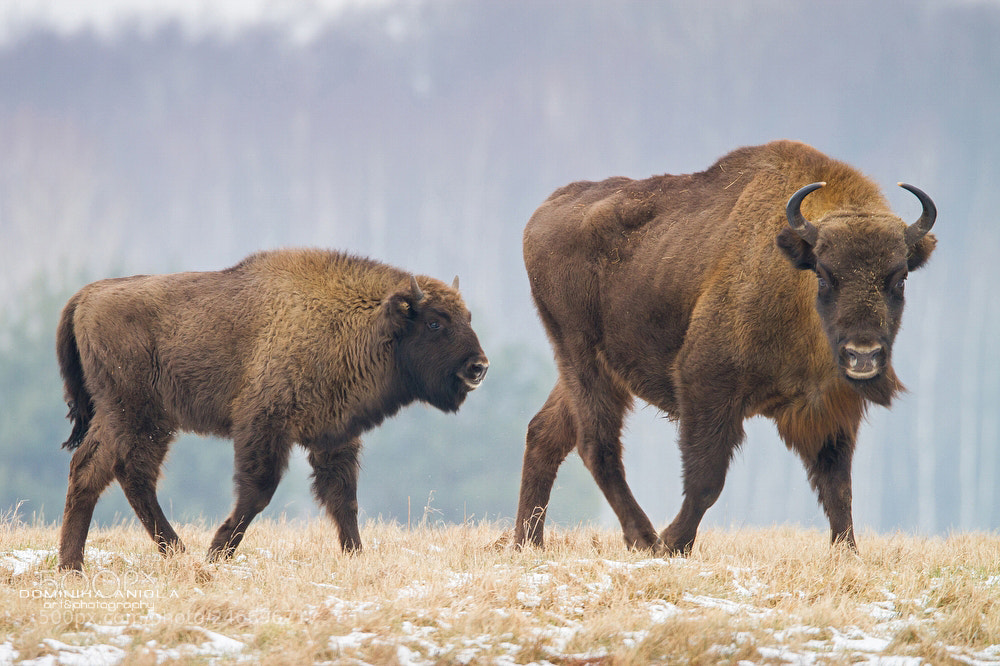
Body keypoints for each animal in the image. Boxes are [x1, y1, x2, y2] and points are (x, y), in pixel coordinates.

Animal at [56, 249, 489, 570]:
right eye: (434, 323)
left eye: (468, 317)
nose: (478, 367)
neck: (360, 321)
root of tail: (85, 298)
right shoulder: (264, 425)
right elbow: (258, 492)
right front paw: (218, 552)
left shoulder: (332, 435)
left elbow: (343, 498)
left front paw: (356, 556)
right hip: (139, 416)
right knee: (127, 474)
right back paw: (172, 552)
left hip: (124, 418)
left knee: (92, 471)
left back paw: (74, 564)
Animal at [514, 140, 936, 555]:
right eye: (825, 275)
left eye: (898, 279)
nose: (863, 355)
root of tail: (543, 214)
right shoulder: (708, 386)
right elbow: (706, 480)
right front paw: (673, 544)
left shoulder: (831, 408)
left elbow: (838, 487)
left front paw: (847, 552)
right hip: (582, 358)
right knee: (597, 445)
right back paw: (643, 538)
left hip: (586, 371)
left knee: (544, 432)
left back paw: (526, 542)